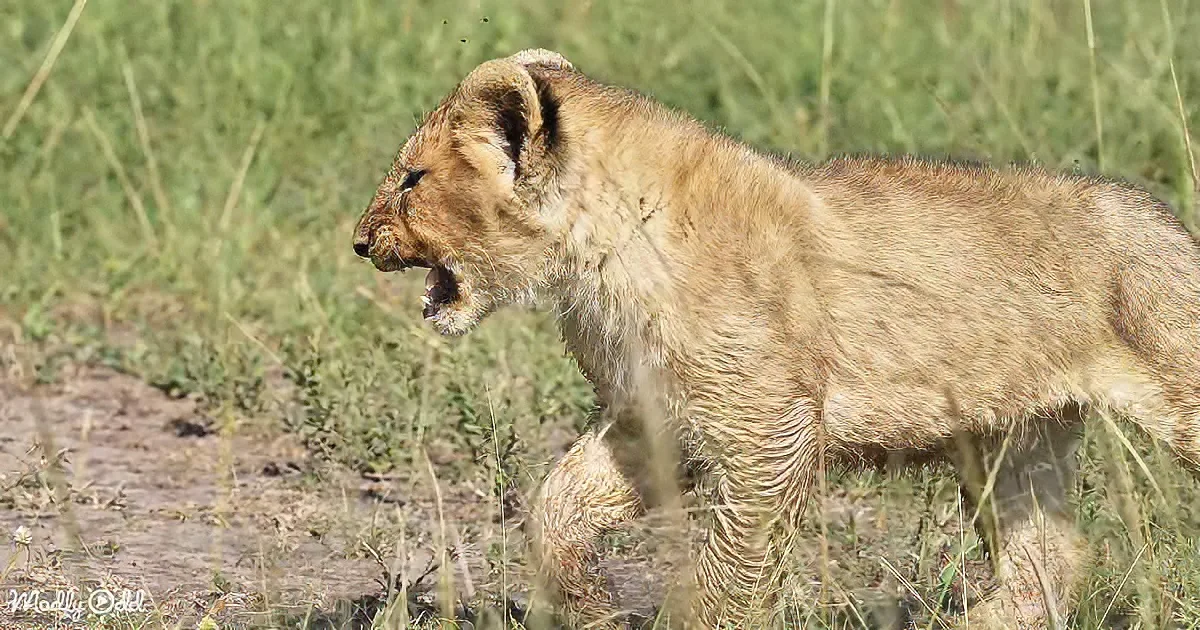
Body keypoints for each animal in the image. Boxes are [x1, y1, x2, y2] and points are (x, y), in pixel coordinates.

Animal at [351, 48, 1200, 628]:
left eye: (413, 180)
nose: (359, 242)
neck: (599, 261)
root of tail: (1166, 223)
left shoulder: (769, 426)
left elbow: (734, 566)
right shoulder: (647, 417)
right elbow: (555, 505)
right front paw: (589, 605)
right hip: (1014, 436)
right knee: (1048, 562)